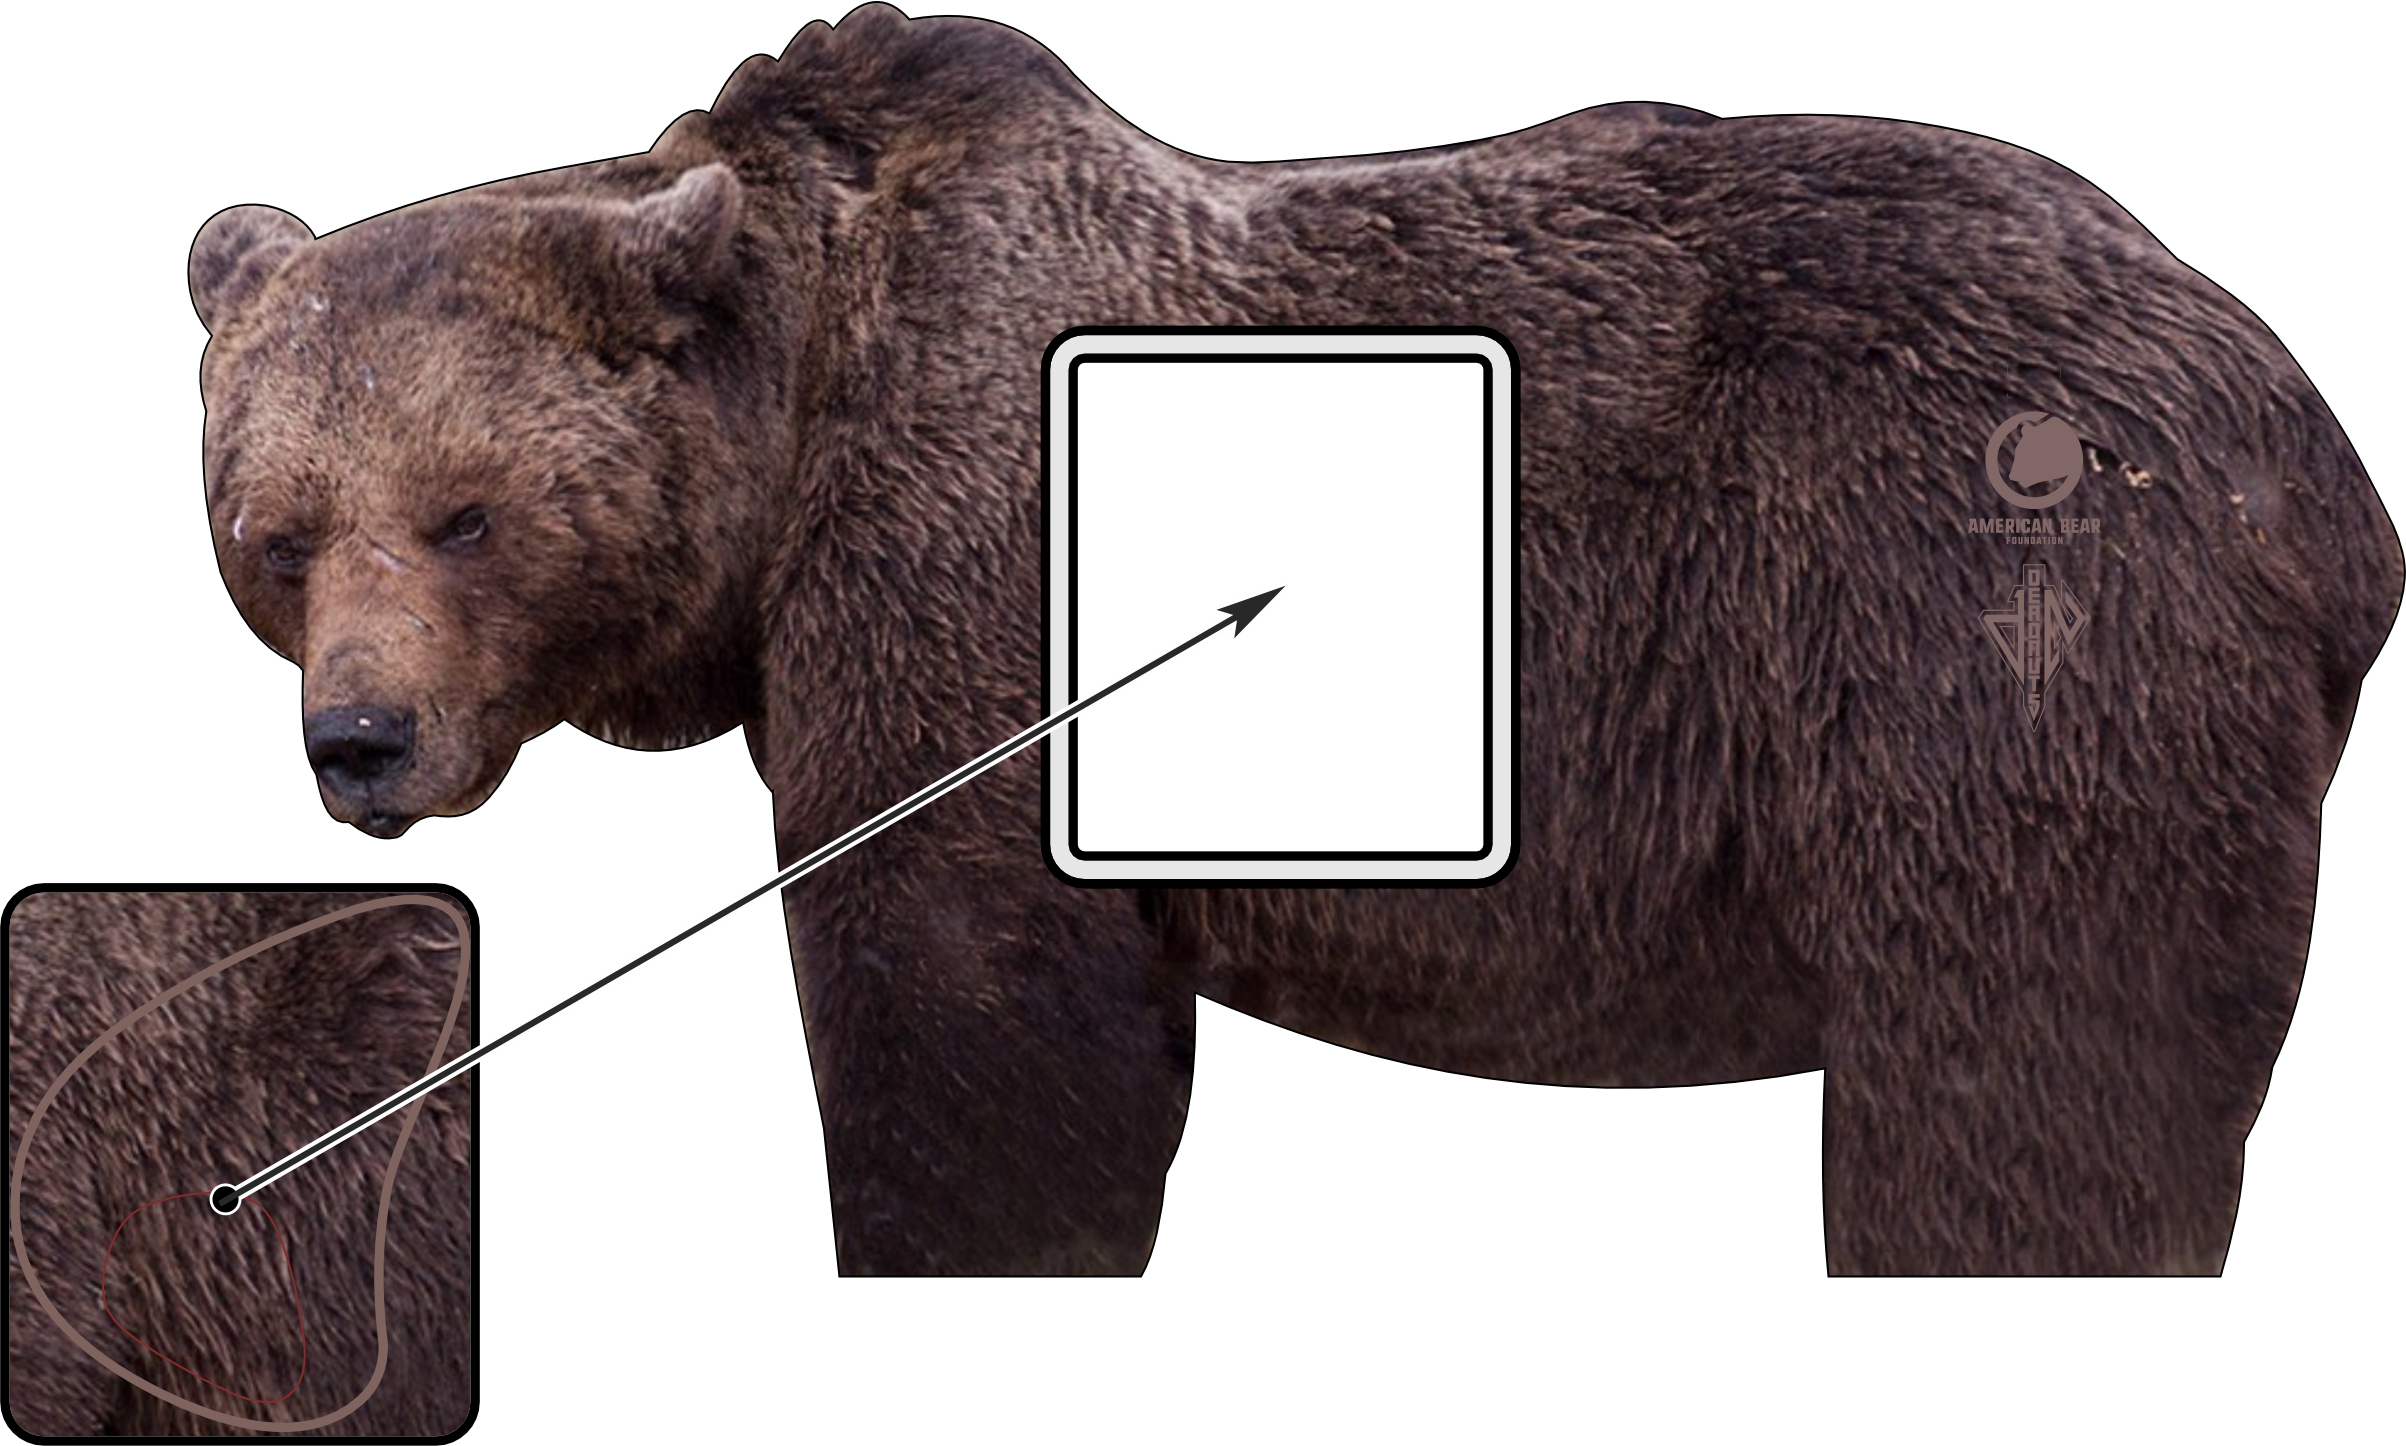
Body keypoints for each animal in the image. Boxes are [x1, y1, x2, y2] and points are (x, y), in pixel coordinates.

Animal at [183, 5, 2401, 1275]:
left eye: (466, 513)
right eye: (271, 535)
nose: (361, 744)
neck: (798, 395)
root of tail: (2314, 446)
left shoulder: (968, 598)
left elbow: (976, 1034)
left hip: (1989, 629)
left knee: (2017, 1090)